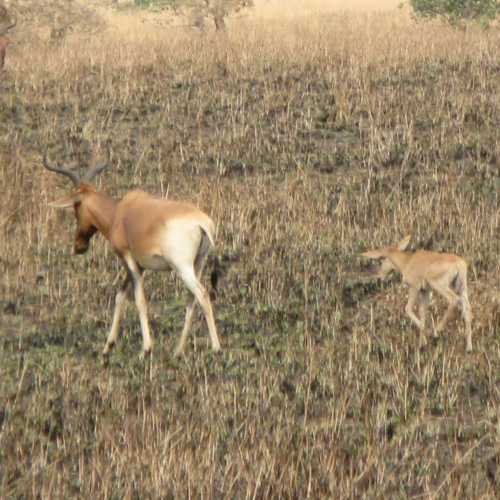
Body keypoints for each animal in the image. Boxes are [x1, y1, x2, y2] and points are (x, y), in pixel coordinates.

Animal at [42, 154, 222, 358]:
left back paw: (216, 348)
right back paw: (178, 350)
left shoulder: (128, 259)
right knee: (192, 298)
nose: (79, 246)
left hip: (182, 267)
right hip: (198, 263)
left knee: (203, 295)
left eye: (76, 205)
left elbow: (139, 300)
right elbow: (120, 297)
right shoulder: (137, 265)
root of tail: (202, 223)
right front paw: (107, 347)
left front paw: (146, 349)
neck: (119, 213)